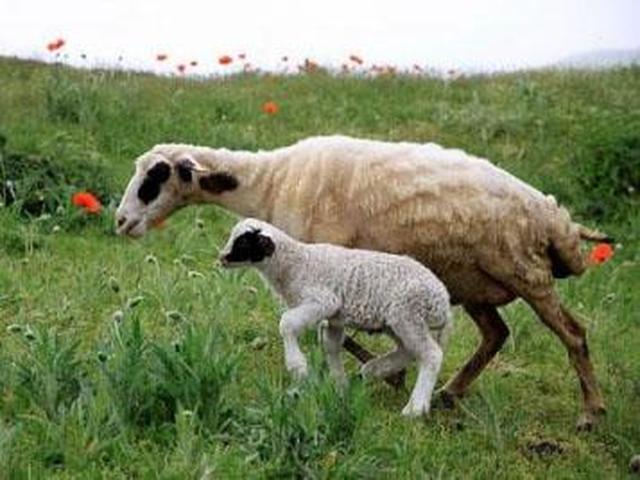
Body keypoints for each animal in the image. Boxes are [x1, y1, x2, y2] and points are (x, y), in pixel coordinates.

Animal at [218, 218, 453, 416]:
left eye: (243, 243)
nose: (221, 258)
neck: (295, 263)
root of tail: (444, 303)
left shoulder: (323, 301)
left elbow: (287, 323)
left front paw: (298, 367)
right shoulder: (334, 317)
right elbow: (330, 346)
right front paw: (339, 387)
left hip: (409, 314)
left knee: (431, 354)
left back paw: (415, 409)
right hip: (395, 322)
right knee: (409, 351)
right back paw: (373, 370)